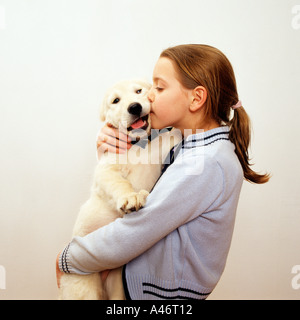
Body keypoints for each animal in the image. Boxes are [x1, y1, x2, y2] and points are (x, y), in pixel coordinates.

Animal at [58, 79, 180, 300]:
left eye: (139, 91)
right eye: (116, 101)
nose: (135, 107)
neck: (139, 144)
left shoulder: (158, 151)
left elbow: (170, 135)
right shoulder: (106, 170)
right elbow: (119, 183)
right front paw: (131, 197)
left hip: (116, 284)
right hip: (83, 288)